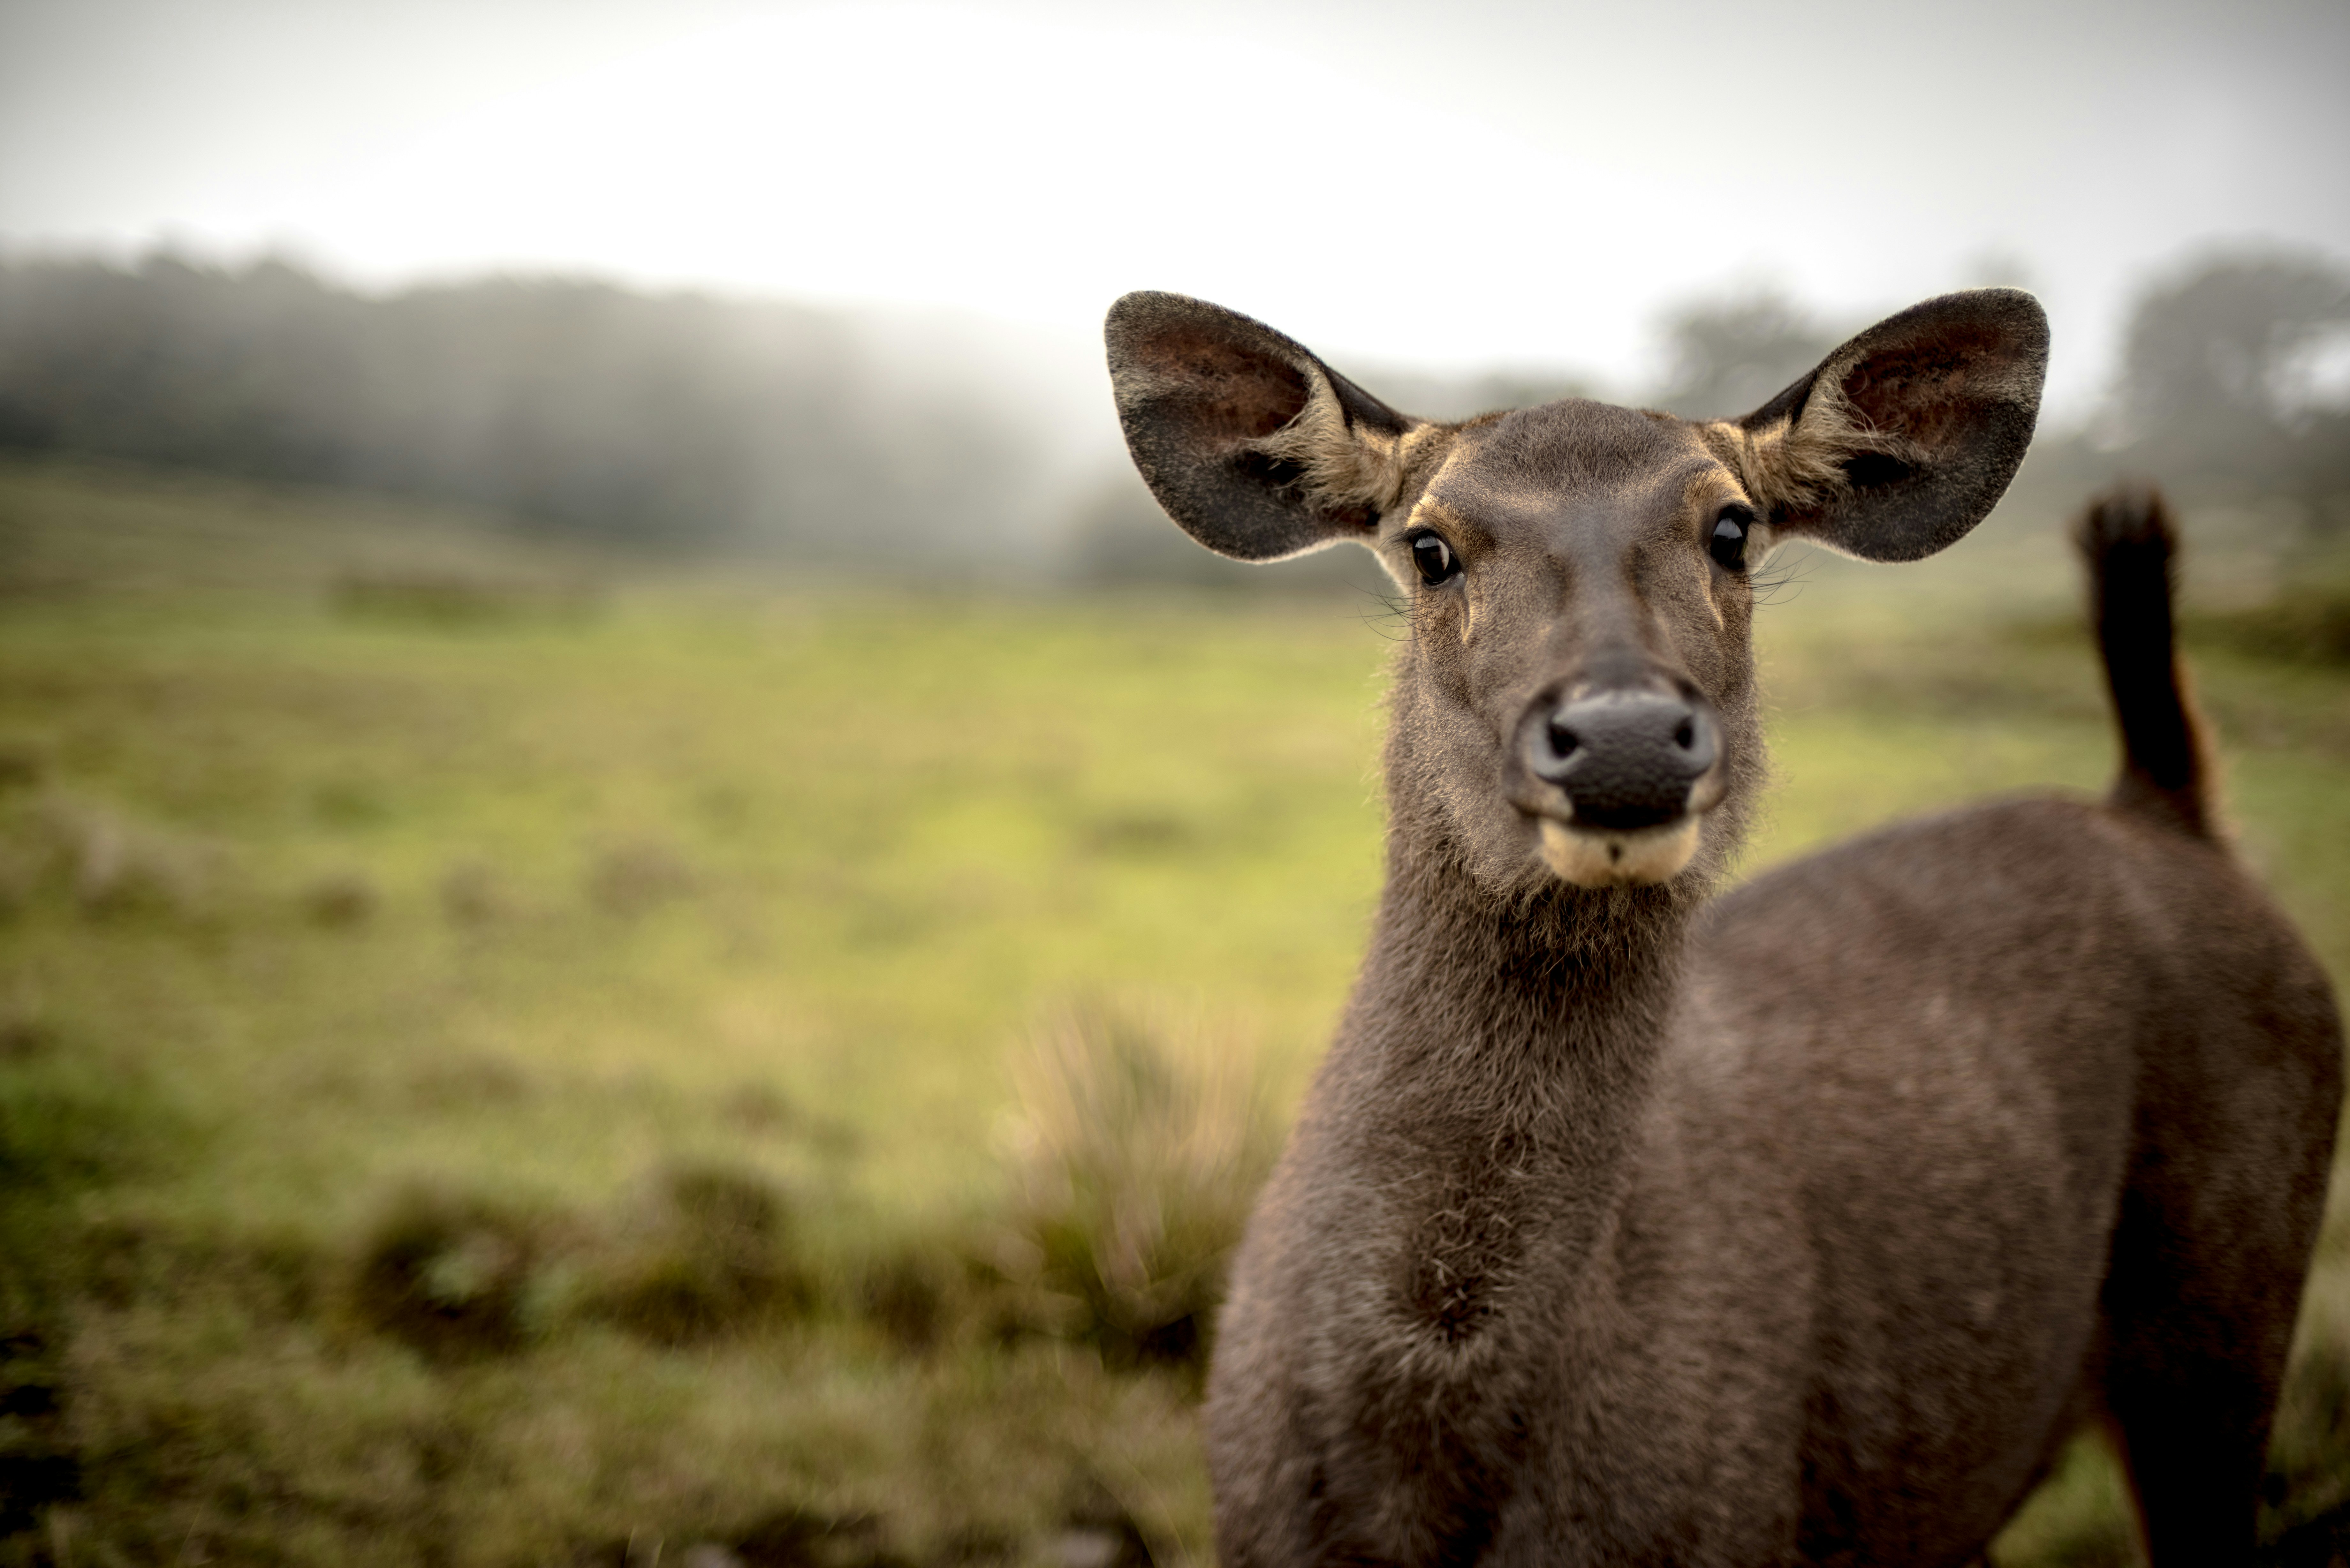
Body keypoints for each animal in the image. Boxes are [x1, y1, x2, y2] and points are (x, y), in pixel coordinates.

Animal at [1103, 287, 2342, 1567]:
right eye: (1429, 544)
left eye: (1733, 529)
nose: (1625, 736)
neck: (1417, 1477)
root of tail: (2165, 807)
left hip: (2227, 1304)